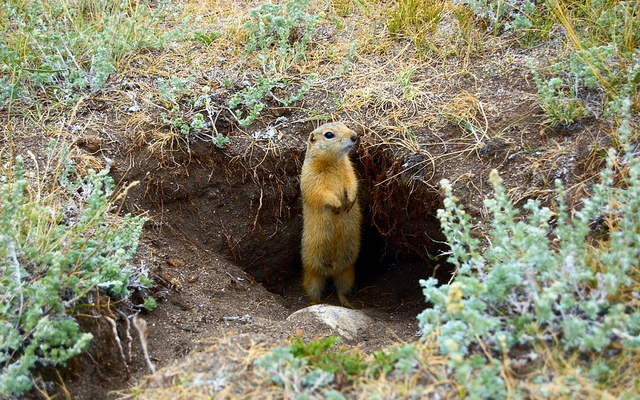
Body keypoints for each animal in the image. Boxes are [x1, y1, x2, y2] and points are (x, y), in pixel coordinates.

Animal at [298, 120, 360, 308]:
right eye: (329, 135)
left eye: (345, 124)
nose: (355, 136)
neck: (333, 162)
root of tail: (332, 270)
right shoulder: (310, 177)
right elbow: (321, 193)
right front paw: (338, 205)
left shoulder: (349, 170)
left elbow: (352, 183)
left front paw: (350, 200)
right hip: (312, 274)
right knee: (313, 289)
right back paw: (316, 303)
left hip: (347, 272)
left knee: (341, 290)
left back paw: (348, 304)